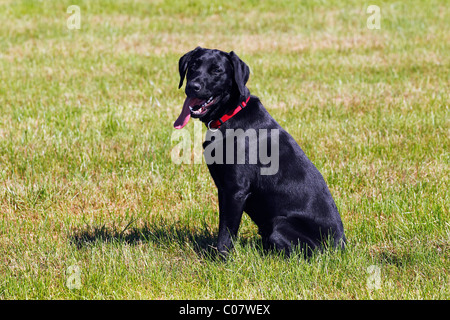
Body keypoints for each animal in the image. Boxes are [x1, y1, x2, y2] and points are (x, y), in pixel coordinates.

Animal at [173, 47, 344, 258]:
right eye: (193, 66)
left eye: (217, 70)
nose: (192, 86)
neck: (231, 114)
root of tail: (341, 246)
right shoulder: (224, 189)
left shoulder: (235, 190)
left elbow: (226, 232)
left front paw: (220, 258)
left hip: (280, 224)